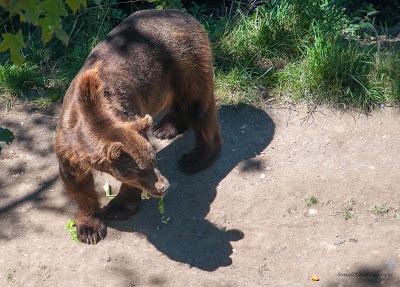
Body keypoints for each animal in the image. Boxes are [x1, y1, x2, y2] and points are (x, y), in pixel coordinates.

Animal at [54, 10, 222, 246]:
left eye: (153, 160)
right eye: (141, 170)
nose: (164, 186)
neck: (91, 113)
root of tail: (184, 15)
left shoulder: (128, 114)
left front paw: (118, 207)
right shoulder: (68, 146)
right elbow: (77, 183)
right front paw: (89, 229)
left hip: (186, 59)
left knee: (197, 105)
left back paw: (195, 158)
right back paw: (165, 127)